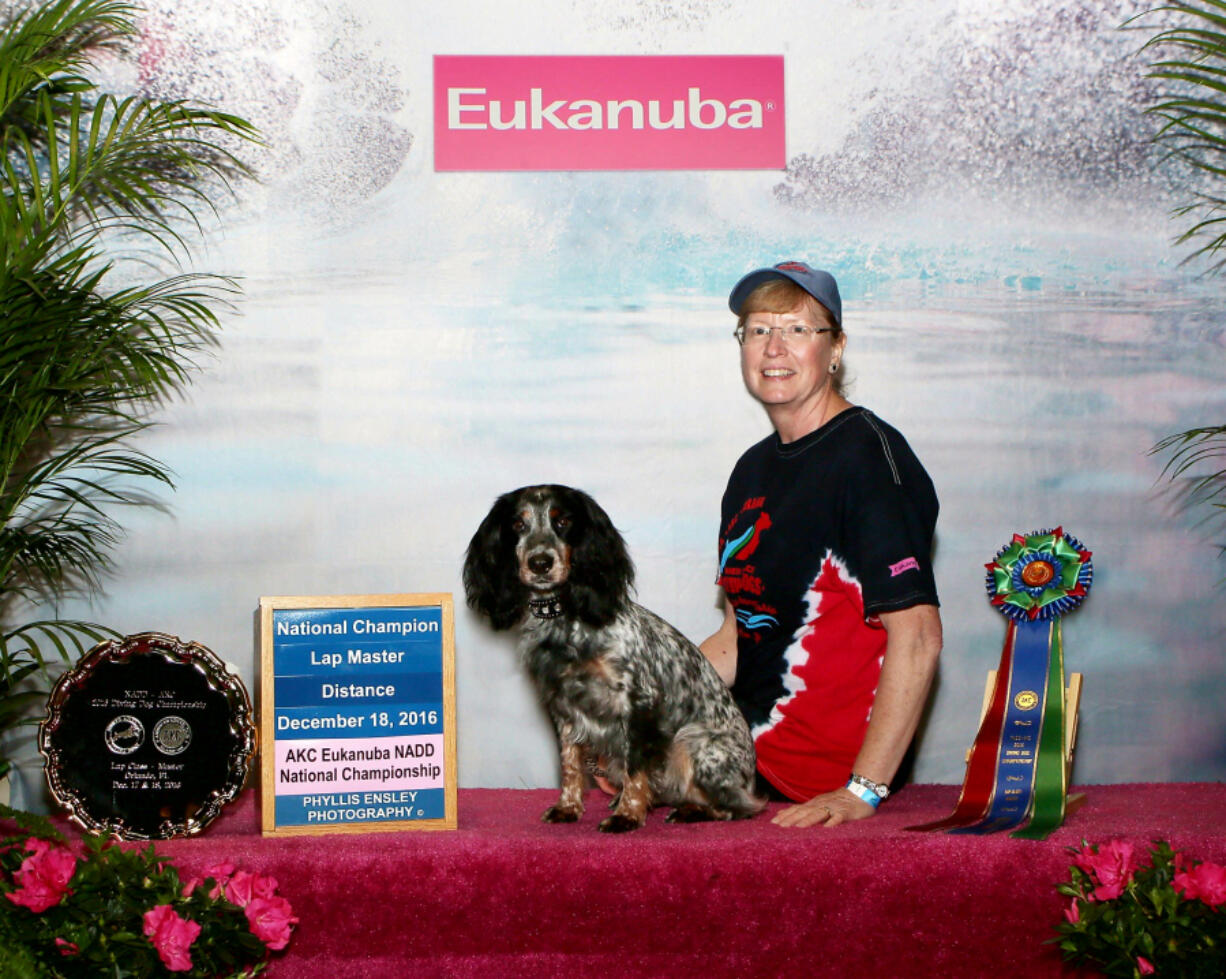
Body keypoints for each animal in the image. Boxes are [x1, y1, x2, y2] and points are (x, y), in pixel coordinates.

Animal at [463, 485, 760, 833]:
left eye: (563, 521)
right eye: (518, 524)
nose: (540, 562)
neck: (565, 621)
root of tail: (751, 778)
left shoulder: (638, 702)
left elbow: (635, 767)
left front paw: (627, 815)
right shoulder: (563, 707)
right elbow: (570, 764)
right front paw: (568, 807)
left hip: (693, 741)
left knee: (736, 807)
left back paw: (690, 810)